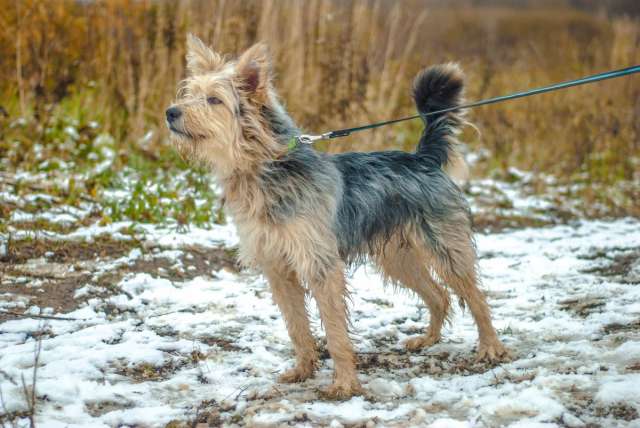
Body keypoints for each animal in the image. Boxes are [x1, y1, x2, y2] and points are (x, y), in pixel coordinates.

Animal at [166, 35, 510, 400]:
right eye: (189, 93)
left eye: (214, 99)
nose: (170, 112)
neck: (266, 168)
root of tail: (423, 159)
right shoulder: (278, 268)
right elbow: (297, 327)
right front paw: (303, 370)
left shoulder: (320, 265)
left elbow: (333, 329)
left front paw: (344, 382)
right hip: (398, 258)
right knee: (439, 296)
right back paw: (428, 340)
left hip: (446, 248)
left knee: (475, 296)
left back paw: (491, 346)